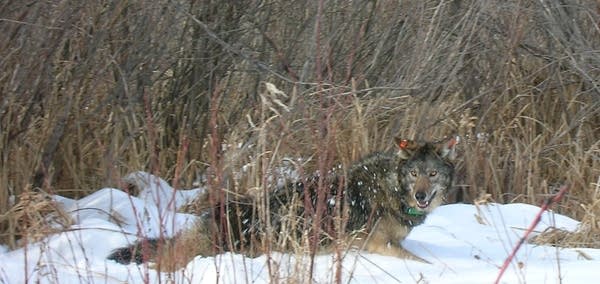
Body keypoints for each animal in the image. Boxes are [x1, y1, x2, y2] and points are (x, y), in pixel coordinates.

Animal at [108, 139, 458, 270]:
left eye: (431, 174)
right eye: (413, 174)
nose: (421, 197)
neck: (393, 189)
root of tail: (211, 216)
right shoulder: (375, 245)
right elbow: (423, 262)